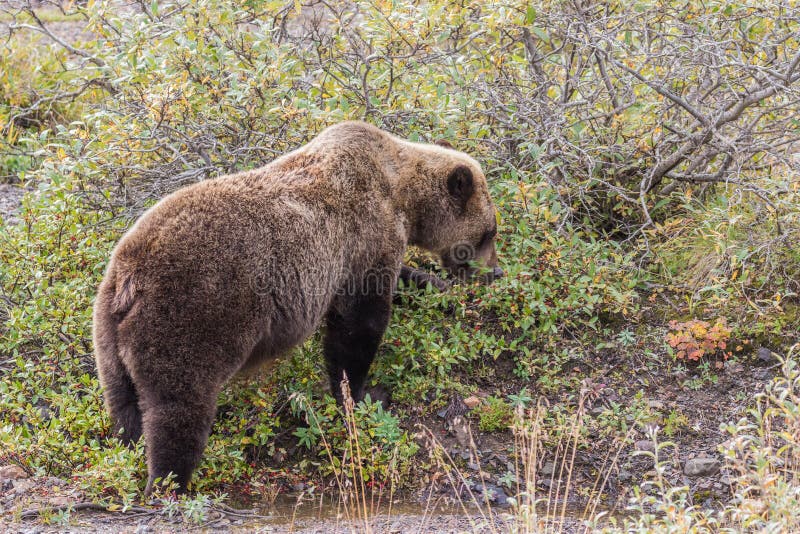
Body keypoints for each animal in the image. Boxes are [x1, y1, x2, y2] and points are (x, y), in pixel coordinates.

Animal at [92, 121, 502, 495]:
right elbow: (356, 327)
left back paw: (129, 446)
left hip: (108, 333)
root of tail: (129, 278)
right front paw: (367, 395)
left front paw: (435, 286)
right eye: (490, 232)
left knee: (124, 400)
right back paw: (168, 480)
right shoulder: (363, 237)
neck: (400, 192)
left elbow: (395, 284)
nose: (494, 271)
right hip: (190, 315)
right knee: (177, 404)